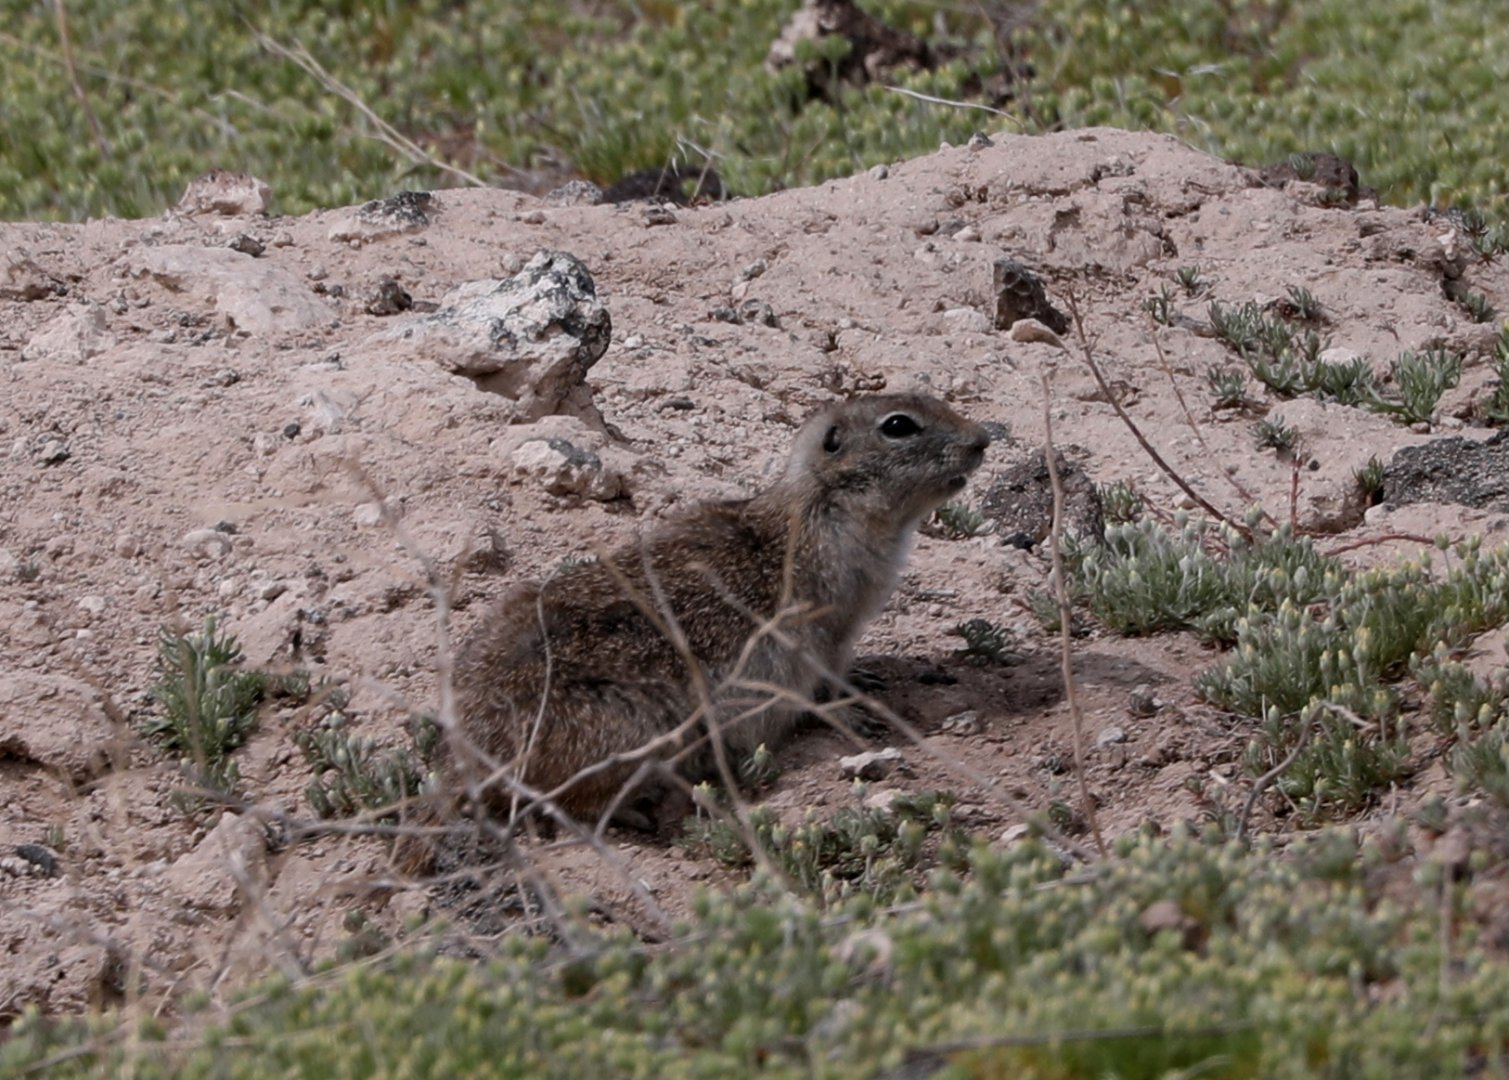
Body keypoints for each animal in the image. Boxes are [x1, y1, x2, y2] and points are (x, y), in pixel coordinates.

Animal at [442, 393, 989, 829]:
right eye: (898, 425)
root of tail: (467, 755)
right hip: (637, 732)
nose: (984, 437)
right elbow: (825, 682)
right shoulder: (827, 628)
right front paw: (855, 713)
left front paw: (868, 680)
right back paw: (637, 813)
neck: (824, 504)